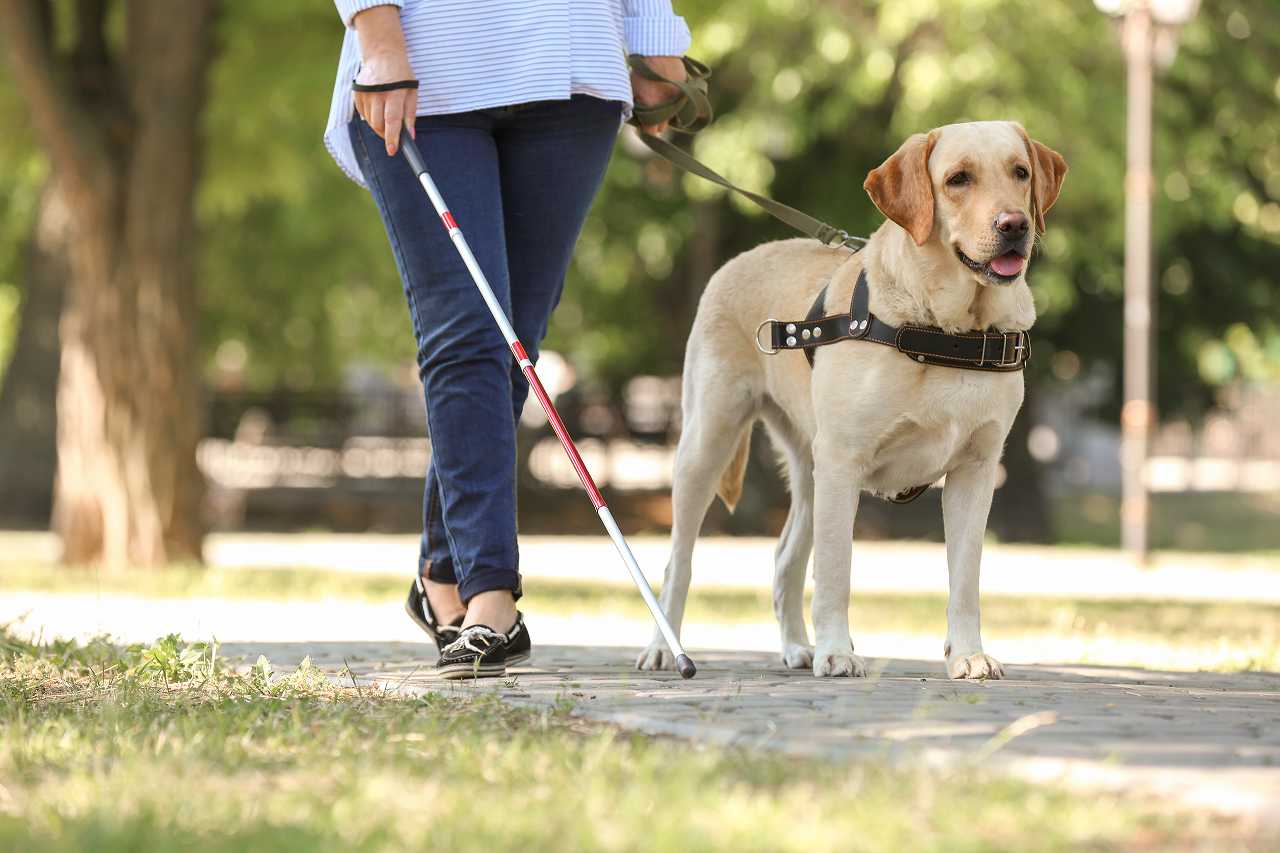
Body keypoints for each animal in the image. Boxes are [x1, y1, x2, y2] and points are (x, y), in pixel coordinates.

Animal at [634, 119, 1064, 676]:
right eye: (958, 179)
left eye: (1020, 172)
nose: (1015, 224)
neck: (944, 332)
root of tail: (744, 256)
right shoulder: (844, 461)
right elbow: (837, 569)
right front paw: (838, 651)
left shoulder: (976, 470)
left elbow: (966, 579)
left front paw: (968, 654)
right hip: (708, 443)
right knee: (678, 561)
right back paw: (666, 648)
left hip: (809, 469)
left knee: (785, 558)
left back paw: (798, 647)